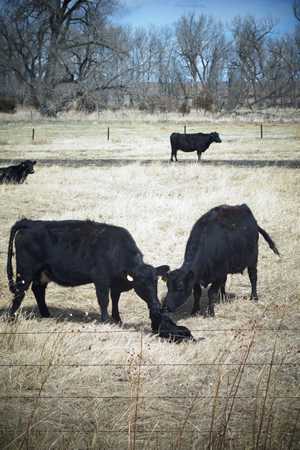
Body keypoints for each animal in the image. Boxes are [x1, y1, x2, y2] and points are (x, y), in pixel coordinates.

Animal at [7, 219, 170, 322]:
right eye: (141, 283)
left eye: (156, 281)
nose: (156, 305)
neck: (115, 249)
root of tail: (29, 222)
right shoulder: (101, 279)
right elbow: (104, 300)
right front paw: (106, 320)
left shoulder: (116, 282)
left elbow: (115, 299)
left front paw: (117, 318)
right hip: (26, 271)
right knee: (20, 292)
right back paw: (12, 318)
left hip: (42, 272)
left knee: (38, 290)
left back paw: (46, 314)